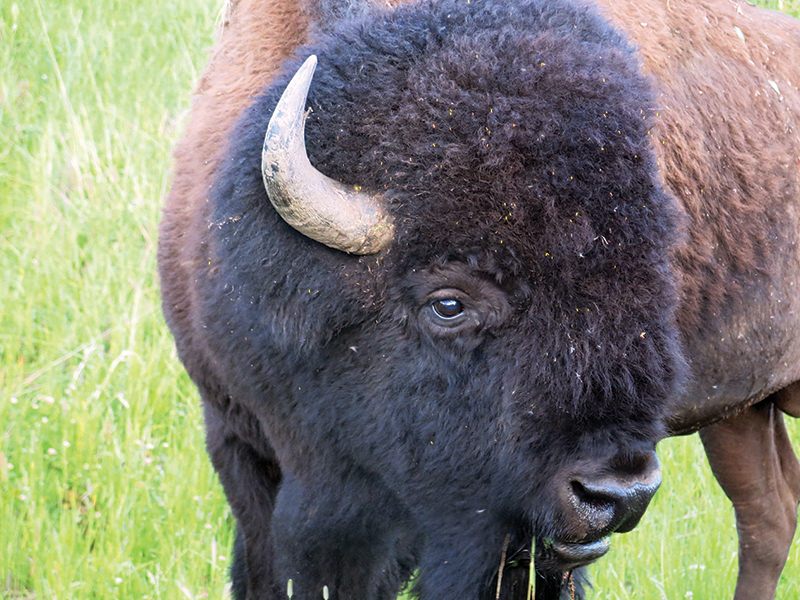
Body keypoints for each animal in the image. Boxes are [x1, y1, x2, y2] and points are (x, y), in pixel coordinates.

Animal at [158, 0, 800, 598]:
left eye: (657, 281)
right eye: (449, 303)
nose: (617, 495)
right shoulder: (240, 439)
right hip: (741, 415)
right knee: (769, 511)